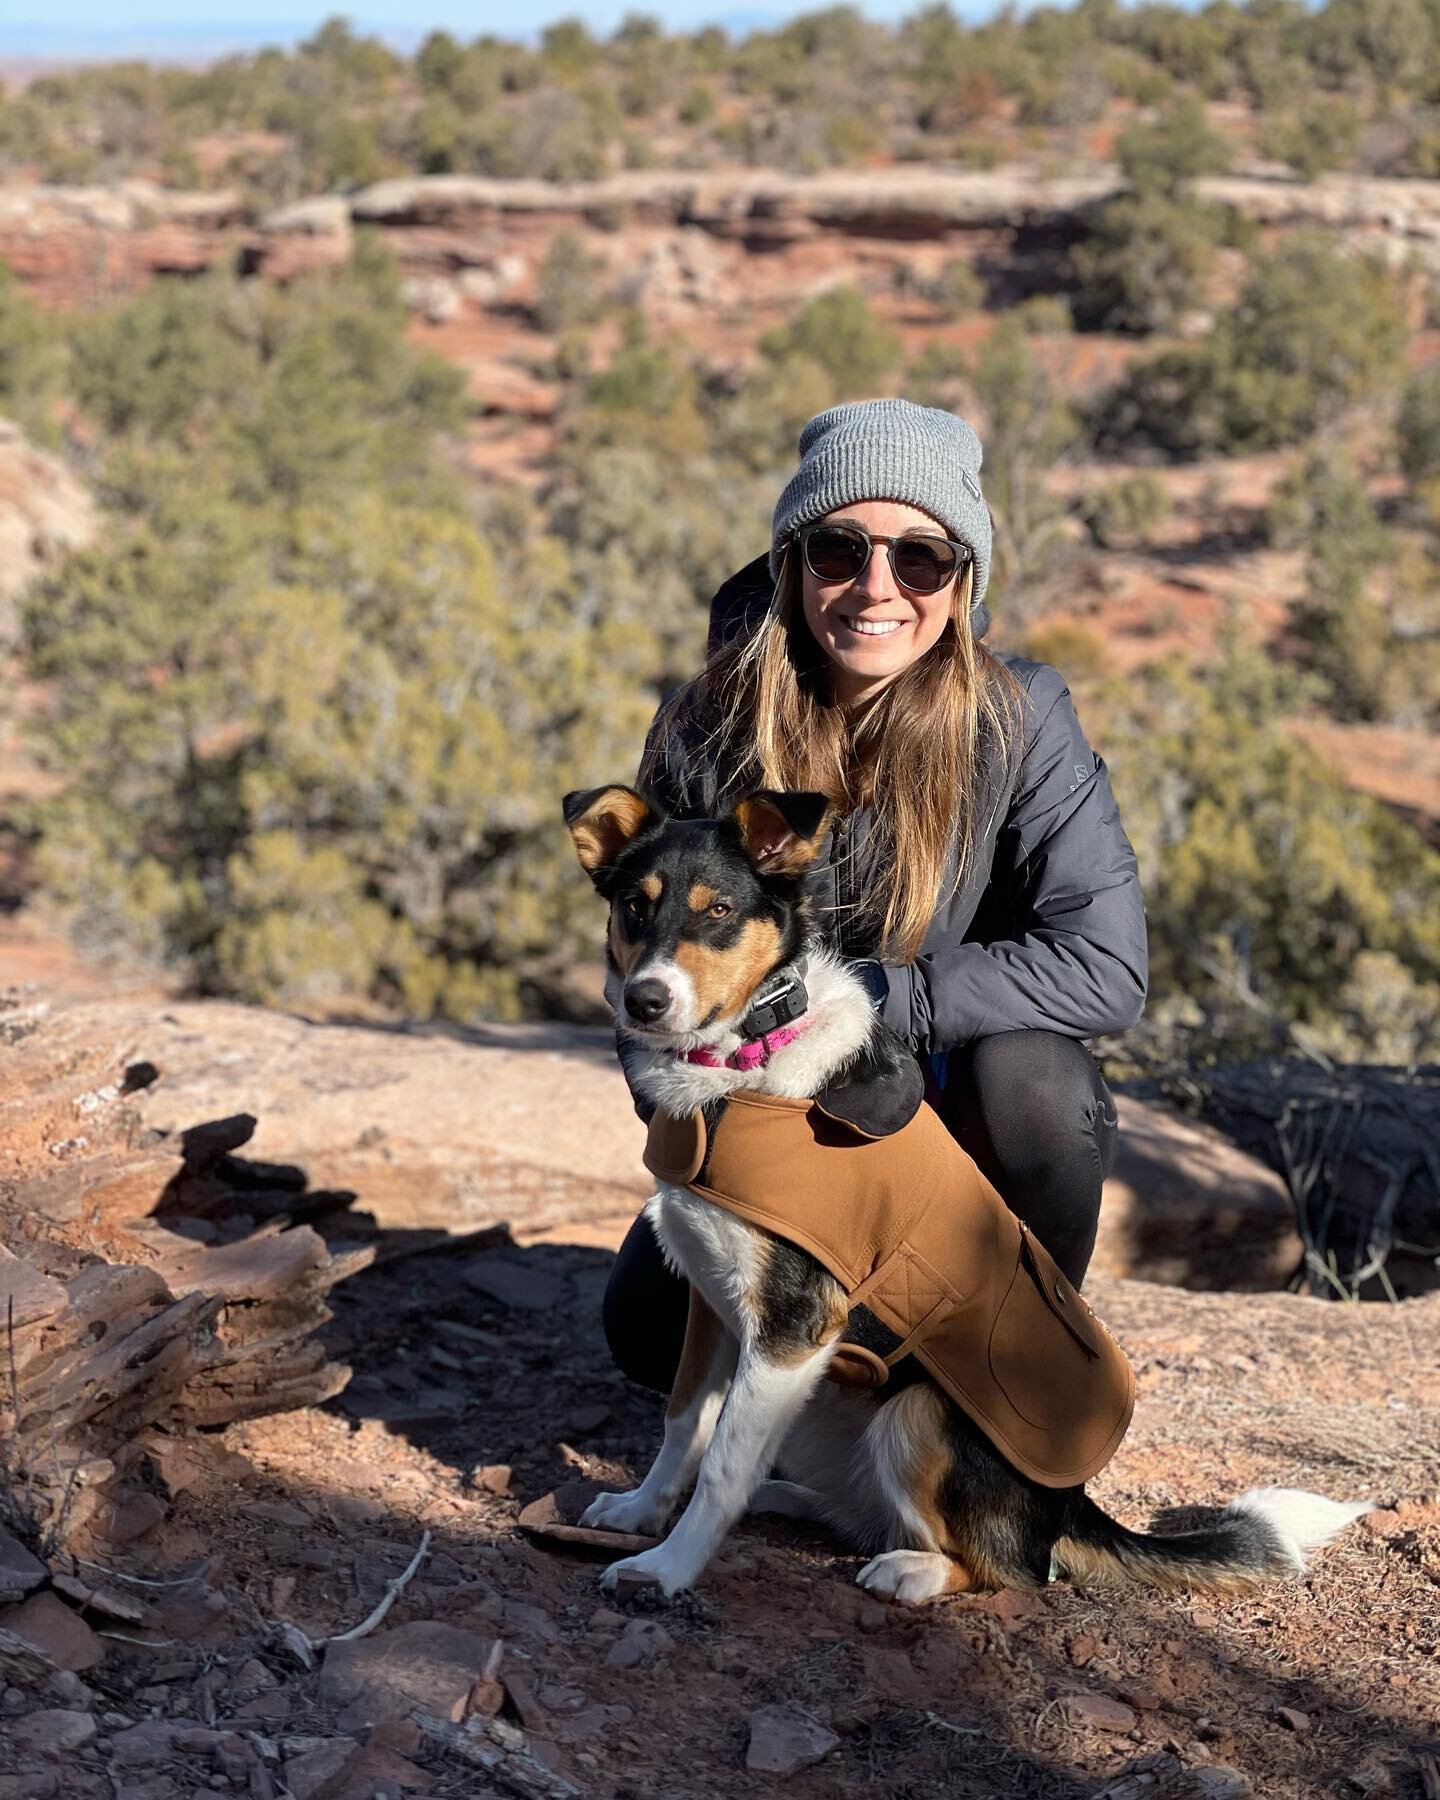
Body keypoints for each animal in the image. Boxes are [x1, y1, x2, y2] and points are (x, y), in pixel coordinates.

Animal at [561, 777, 1375, 1605]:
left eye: (719, 910)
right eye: (634, 907)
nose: (645, 1000)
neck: (743, 1064)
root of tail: (1071, 1507)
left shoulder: (794, 1328)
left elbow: (722, 1465)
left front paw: (668, 1568)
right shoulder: (714, 1304)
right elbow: (683, 1425)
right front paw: (639, 1512)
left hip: (917, 1411)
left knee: (1012, 1567)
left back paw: (911, 1570)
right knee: (866, 1513)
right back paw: (794, 1499)